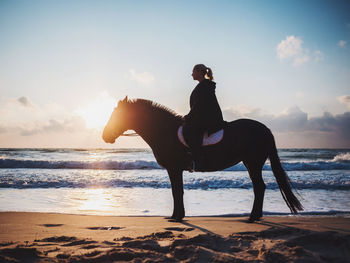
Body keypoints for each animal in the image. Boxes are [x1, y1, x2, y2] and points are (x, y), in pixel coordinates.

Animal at [102, 97, 302, 223]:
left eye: (117, 116)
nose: (105, 136)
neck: (165, 131)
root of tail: (265, 129)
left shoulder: (174, 169)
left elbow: (176, 192)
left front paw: (177, 217)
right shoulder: (175, 170)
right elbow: (178, 192)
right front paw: (176, 216)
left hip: (252, 163)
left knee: (259, 187)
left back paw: (252, 218)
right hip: (253, 163)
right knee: (260, 187)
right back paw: (256, 216)